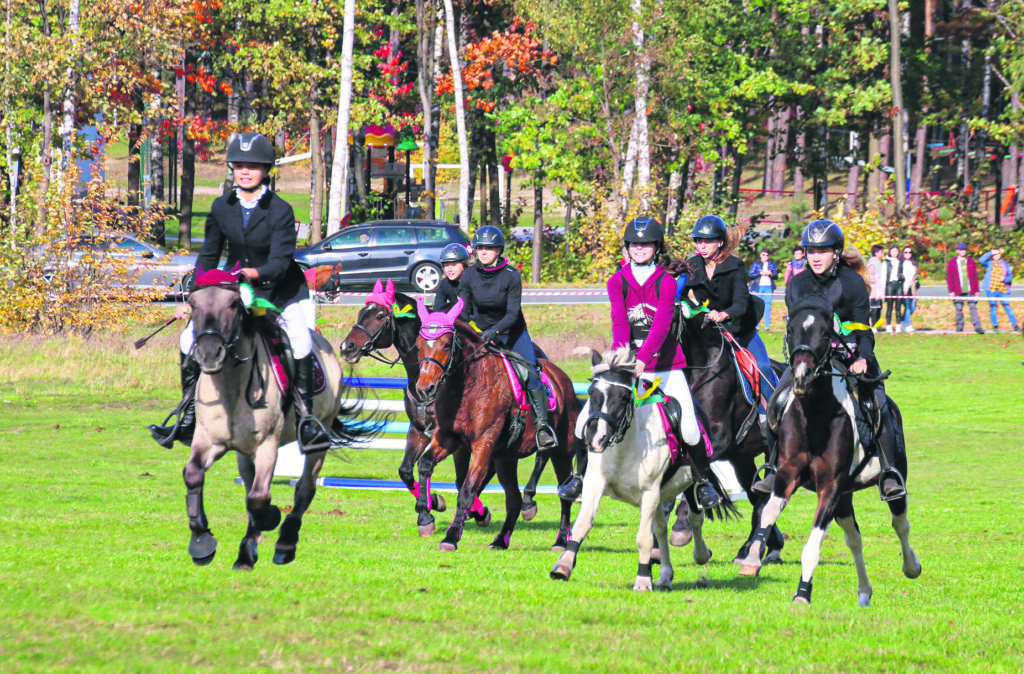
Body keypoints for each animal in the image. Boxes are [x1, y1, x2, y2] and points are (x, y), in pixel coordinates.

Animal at [181, 278, 372, 565]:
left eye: (233, 303)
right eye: (192, 303)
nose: (209, 354)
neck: (230, 387)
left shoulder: (267, 445)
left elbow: (260, 498)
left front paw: (271, 517)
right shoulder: (207, 440)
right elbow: (194, 475)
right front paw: (201, 541)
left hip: (319, 436)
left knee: (304, 488)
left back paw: (284, 544)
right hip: (244, 453)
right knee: (249, 485)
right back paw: (249, 546)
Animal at [411, 297, 581, 549]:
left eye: (446, 344)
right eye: (419, 344)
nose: (425, 389)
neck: (467, 385)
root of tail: (563, 379)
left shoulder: (483, 444)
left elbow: (467, 490)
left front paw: (451, 536)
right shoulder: (447, 439)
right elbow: (425, 465)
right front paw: (426, 516)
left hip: (562, 452)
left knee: (564, 493)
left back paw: (561, 540)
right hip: (506, 458)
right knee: (514, 498)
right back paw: (501, 540)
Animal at [548, 346, 733, 590]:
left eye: (624, 398)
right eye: (591, 393)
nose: (595, 440)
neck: (624, 445)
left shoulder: (649, 493)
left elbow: (644, 538)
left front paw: (643, 580)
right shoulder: (594, 484)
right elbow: (583, 524)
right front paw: (563, 566)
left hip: (687, 481)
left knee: (695, 517)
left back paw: (701, 554)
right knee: (661, 529)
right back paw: (665, 576)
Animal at [737, 295, 921, 602]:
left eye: (825, 334)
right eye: (791, 330)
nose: (802, 377)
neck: (816, 417)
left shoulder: (830, 488)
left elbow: (812, 544)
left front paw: (802, 593)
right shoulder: (787, 476)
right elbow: (769, 512)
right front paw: (751, 560)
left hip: (888, 480)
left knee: (900, 523)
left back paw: (911, 567)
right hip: (845, 498)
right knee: (854, 539)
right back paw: (864, 593)